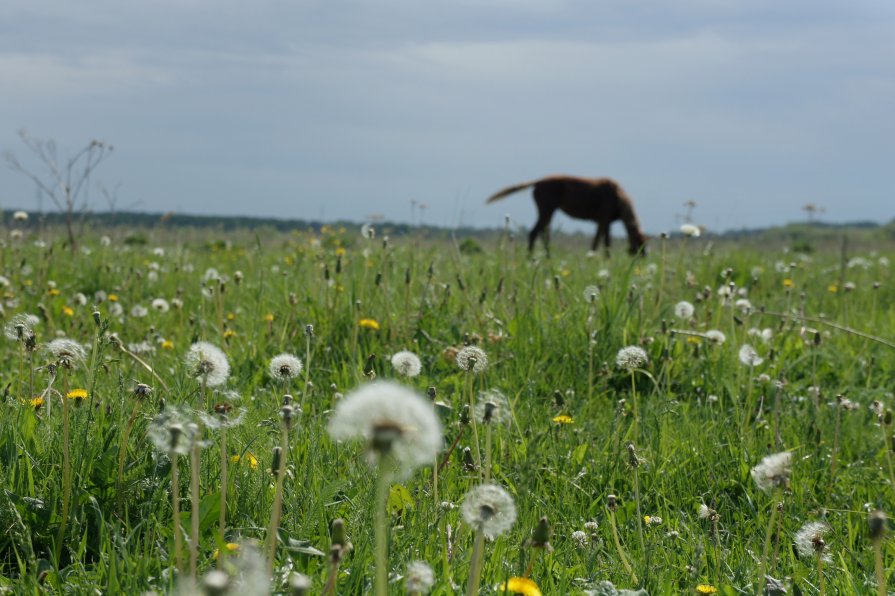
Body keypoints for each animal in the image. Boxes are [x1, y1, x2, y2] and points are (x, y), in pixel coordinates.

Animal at [486, 175, 648, 254]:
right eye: (640, 244)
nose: (644, 256)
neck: (620, 200)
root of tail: (538, 181)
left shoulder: (603, 222)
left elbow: (600, 242)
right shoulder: (604, 218)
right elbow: (603, 243)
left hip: (548, 210)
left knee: (544, 234)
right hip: (547, 209)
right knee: (535, 232)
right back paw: (531, 257)